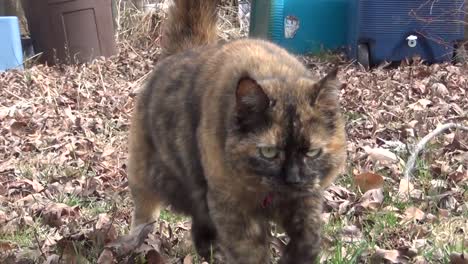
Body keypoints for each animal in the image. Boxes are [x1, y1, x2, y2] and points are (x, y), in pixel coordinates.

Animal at [126, 0, 346, 262]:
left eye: (312, 152)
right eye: (269, 152)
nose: (293, 179)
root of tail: (184, 51)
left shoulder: (307, 197)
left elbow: (309, 238)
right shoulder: (233, 211)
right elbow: (251, 254)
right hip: (148, 177)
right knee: (145, 212)